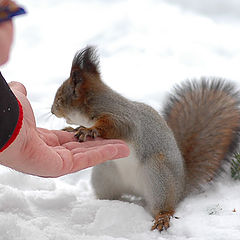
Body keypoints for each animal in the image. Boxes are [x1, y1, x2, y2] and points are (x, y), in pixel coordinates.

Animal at [51, 46, 240, 232]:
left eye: (60, 98)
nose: (52, 110)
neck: (96, 103)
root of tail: (181, 187)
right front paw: (71, 129)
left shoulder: (123, 118)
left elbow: (114, 126)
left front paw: (88, 131)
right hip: (104, 175)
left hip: (158, 175)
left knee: (165, 206)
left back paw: (162, 218)